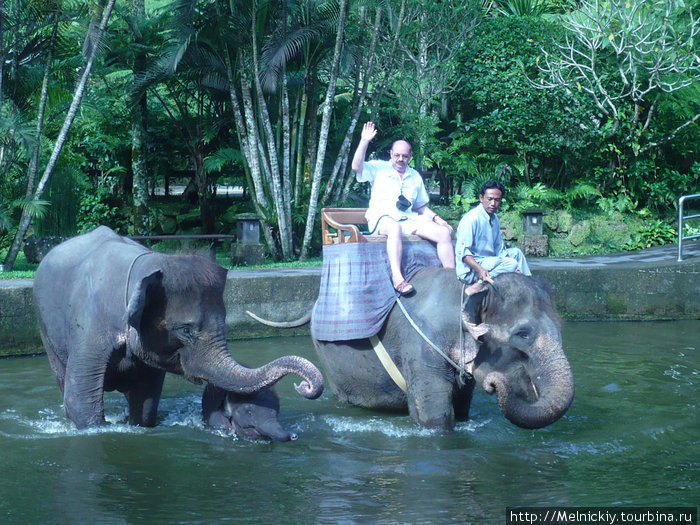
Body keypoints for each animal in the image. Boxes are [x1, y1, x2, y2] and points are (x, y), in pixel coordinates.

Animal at [34, 227, 324, 428]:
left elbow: (146, 405)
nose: (304, 386)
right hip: (46, 330)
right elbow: (81, 405)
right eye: (186, 330)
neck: (144, 267)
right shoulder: (90, 329)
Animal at [312, 268, 576, 428]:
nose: (493, 384)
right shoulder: (420, 348)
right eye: (523, 334)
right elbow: (435, 418)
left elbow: (461, 408)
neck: (469, 291)